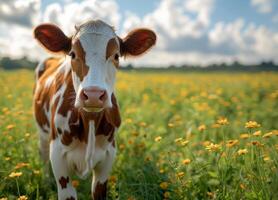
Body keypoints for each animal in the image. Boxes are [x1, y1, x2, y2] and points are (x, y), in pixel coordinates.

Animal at [32, 19, 156, 200]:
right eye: (72, 54)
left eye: (116, 55)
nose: (93, 95)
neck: (89, 120)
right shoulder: (57, 155)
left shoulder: (108, 156)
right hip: (43, 133)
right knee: (43, 155)